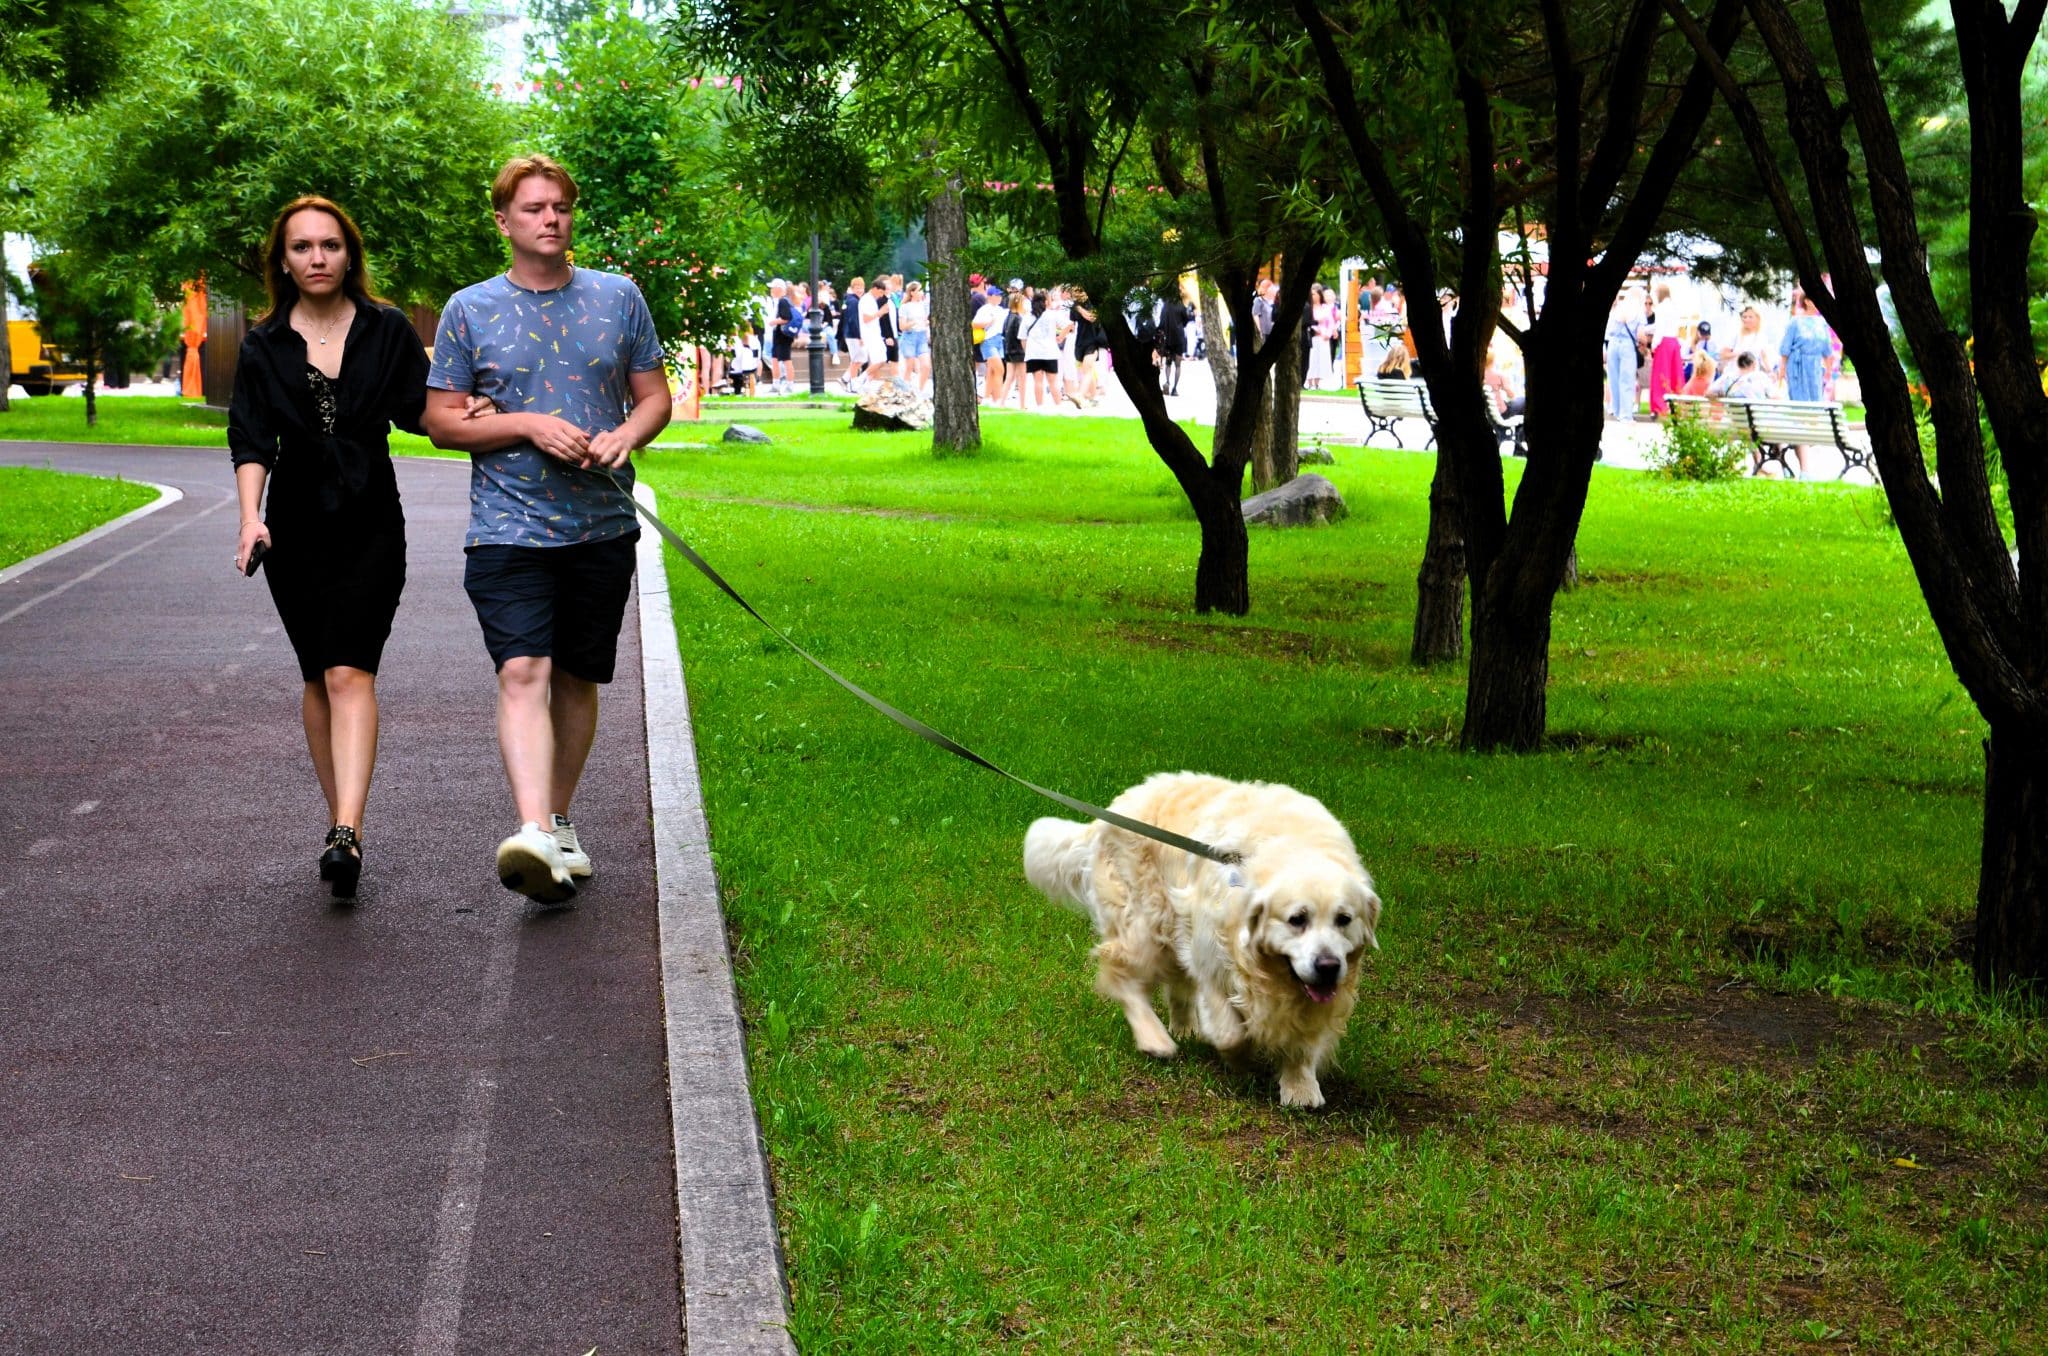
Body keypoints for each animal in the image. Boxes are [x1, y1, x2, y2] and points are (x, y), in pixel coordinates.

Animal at [1032, 770, 1384, 1114]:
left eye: (1344, 919)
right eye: (1297, 919)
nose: (1328, 966)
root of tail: (1112, 811)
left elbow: (1303, 1039)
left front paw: (1301, 1088)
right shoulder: (1213, 960)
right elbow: (1231, 1034)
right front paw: (1240, 1060)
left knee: (1175, 986)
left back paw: (1184, 1027)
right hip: (1145, 924)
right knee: (1122, 976)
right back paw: (1155, 1039)